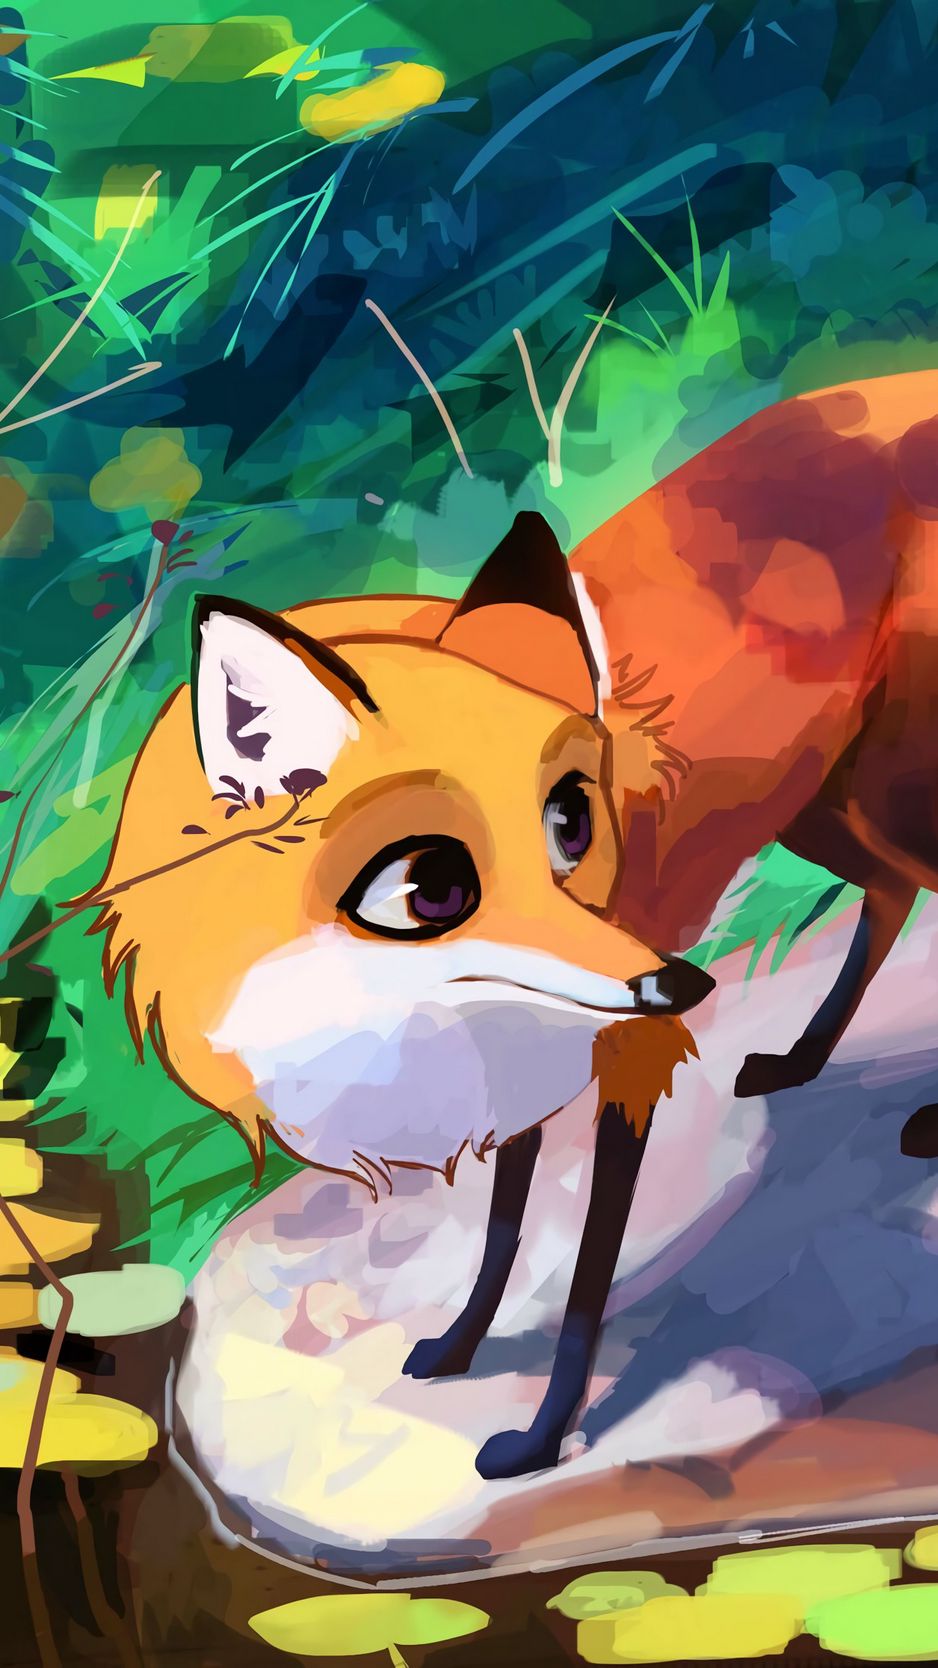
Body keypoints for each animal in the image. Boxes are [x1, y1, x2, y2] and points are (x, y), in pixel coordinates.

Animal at [88, 366, 938, 1481]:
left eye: (570, 821)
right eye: (428, 888)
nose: (684, 986)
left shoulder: (626, 1059)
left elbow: (582, 1279)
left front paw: (539, 1438)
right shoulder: (526, 1050)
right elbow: (501, 1232)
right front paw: (459, 1346)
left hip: (889, 792)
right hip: (824, 806)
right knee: (892, 892)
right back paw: (798, 1061)